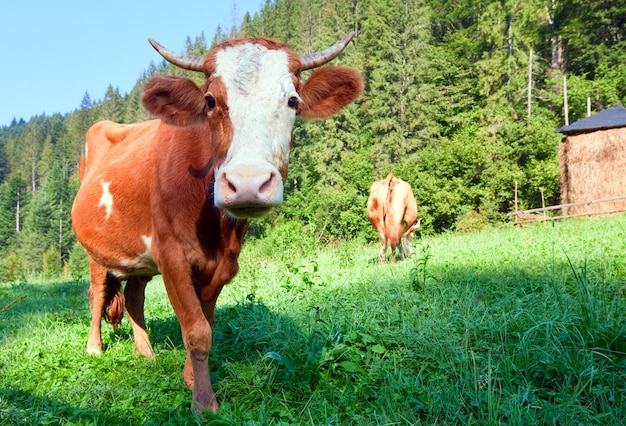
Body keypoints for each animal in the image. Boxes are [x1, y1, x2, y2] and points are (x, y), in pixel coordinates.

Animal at [70, 33, 360, 412]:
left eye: (292, 100)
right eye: (209, 101)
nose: (248, 182)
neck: (217, 230)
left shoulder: (223, 263)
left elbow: (205, 322)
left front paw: (190, 378)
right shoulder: (172, 255)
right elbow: (195, 330)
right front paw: (204, 402)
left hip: (140, 257)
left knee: (133, 297)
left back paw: (145, 352)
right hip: (96, 252)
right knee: (98, 293)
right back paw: (94, 347)